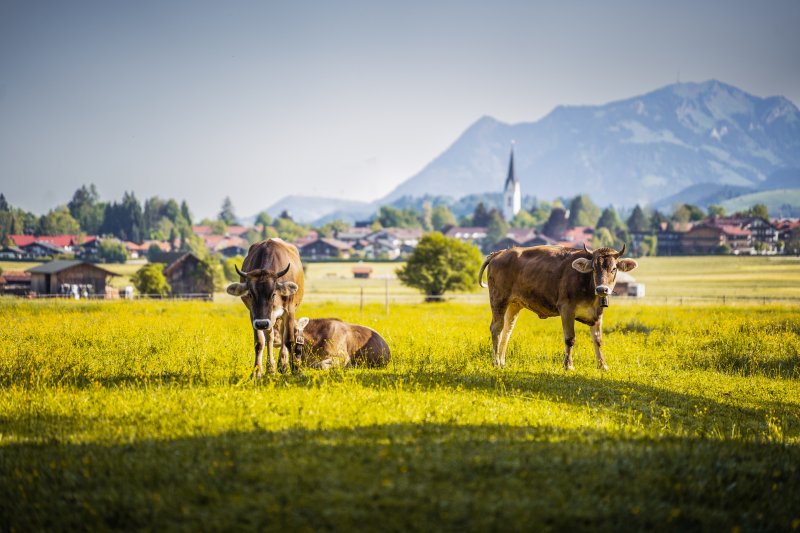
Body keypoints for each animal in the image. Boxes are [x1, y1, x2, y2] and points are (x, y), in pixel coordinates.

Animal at [227, 239, 304, 376]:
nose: (262, 323)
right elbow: (260, 342)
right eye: (250, 294)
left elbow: (289, 340)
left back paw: (282, 364)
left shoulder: (289, 311)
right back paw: (271, 368)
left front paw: (295, 370)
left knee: (282, 335)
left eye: (273, 294)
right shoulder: (254, 315)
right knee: (270, 337)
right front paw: (257, 372)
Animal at [478, 242, 640, 370]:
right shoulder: (566, 308)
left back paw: (502, 362)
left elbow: (598, 340)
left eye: (614, 269)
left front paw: (602, 365)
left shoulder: (597, 314)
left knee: (507, 330)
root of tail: (500, 253)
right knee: (497, 328)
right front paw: (568, 365)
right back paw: (495, 362)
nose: (602, 289)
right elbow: (570, 338)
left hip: (514, 304)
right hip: (498, 299)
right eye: (594, 268)